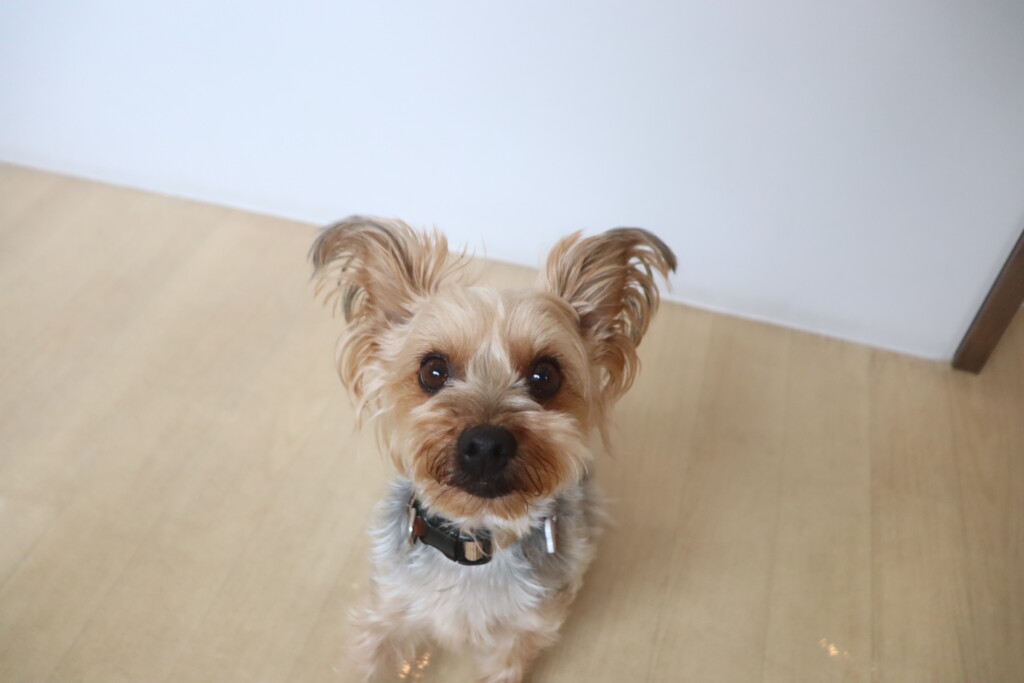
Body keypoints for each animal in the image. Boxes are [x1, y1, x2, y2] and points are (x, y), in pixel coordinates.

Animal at [310, 217, 675, 682]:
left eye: (545, 375)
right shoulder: (387, 613)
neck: (475, 541)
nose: (485, 443)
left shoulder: (524, 632)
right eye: (433, 370)